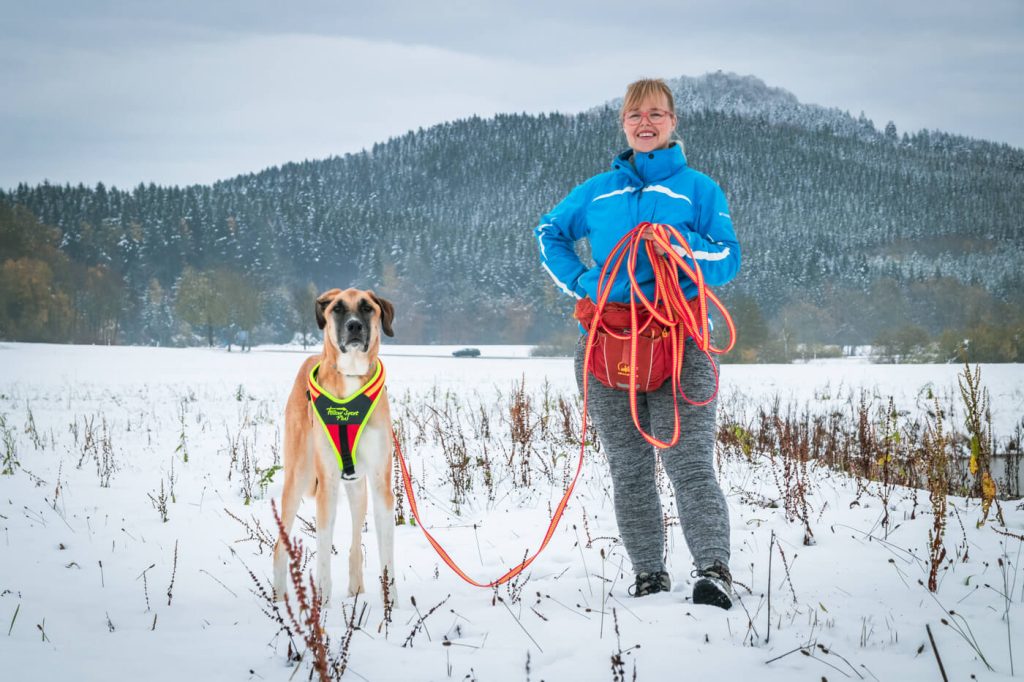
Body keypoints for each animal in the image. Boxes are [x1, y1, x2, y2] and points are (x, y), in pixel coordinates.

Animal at [272, 284, 395, 602]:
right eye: (337, 308)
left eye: (367, 308)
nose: (354, 326)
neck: (350, 372)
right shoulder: (326, 481)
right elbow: (324, 554)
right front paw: (322, 607)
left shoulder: (380, 482)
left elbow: (386, 554)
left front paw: (392, 607)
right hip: (298, 476)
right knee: (279, 548)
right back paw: (278, 600)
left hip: (357, 488)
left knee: (354, 543)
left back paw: (356, 589)